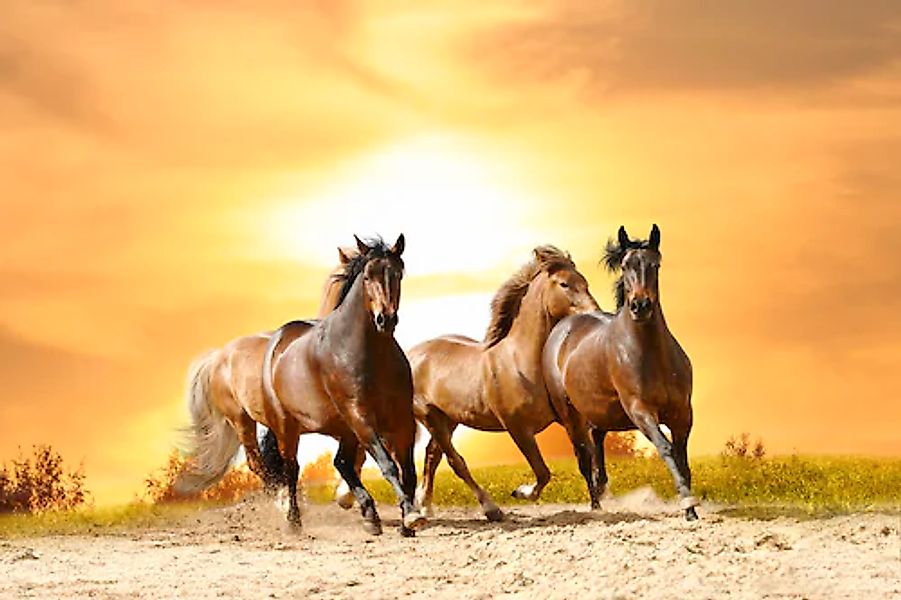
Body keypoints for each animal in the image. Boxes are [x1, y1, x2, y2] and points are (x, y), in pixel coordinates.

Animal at [178, 235, 426, 536]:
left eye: (397, 273)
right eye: (367, 276)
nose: (385, 319)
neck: (370, 353)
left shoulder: (401, 418)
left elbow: (407, 470)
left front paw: (407, 521)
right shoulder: (360, 417)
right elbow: (387, 464)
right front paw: (411, 516)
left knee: (337, 463)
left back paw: (368, 515)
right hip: (268, 423)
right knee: (285, 467)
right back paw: (293, 519)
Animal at [407, 246, 599, 521]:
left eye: (584, 282)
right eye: (564, 284)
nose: (594, 312)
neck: (520, 361)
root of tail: (410, 355)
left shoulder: (571, 419)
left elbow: (586, 459)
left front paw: (598, 505)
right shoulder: (518, 428)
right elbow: (543, 472)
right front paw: (520, 492)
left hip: (449, 419)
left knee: (432, 456)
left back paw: (426, 506)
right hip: (430, 417)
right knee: (456, 461)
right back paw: (491, 509)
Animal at [542, 225, 699, 520]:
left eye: (655, 264)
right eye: (625, 266)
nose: (640, 306)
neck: (651, 355)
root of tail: (562, 328)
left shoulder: (682, 413)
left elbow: (682, 458)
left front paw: (691, 508)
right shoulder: (640, 410)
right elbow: (666, 449)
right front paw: (688, 505)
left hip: (599, 414)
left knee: (597, 446)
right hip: (570, 417)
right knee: (583, 459)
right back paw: (596, 506)